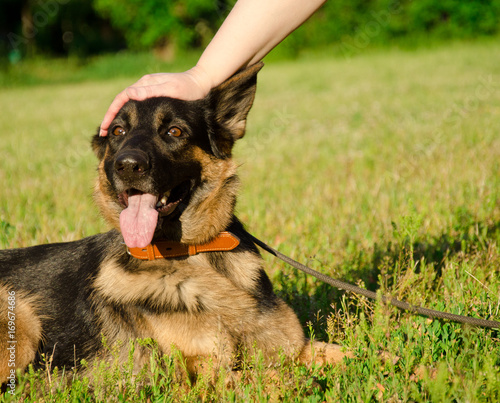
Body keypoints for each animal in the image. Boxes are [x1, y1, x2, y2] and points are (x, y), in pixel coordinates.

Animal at [0, 63, 348, 386]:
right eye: (117, 132)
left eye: (174, 132)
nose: (126, 165)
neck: (194, 254)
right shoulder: (201, 373)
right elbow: (274, 377)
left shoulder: (294, 345)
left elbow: (348, 354)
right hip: (23, 324)